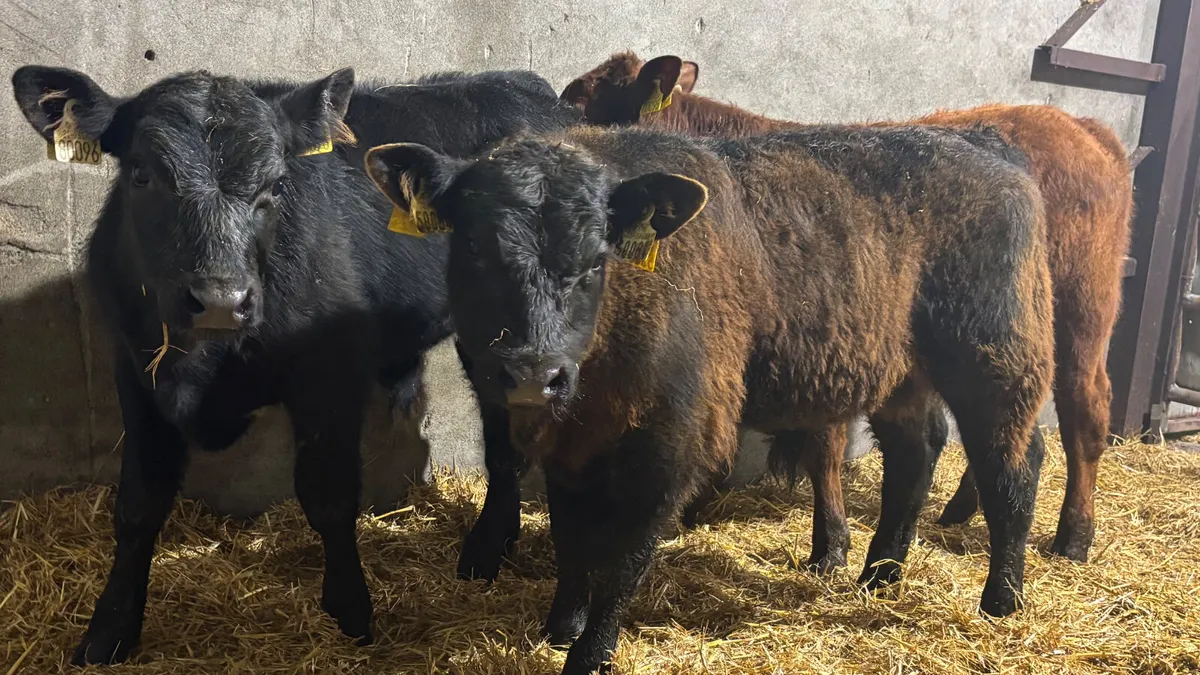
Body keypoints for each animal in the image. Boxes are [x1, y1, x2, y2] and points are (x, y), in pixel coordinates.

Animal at [11, 64, 579, 665]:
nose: (220, 299)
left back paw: (485, 550)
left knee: (505, 446)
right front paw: (109, 630)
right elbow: (138, 506)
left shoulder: (328, 376)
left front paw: (350, 612)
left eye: (275, 186)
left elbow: (328, 497)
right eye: (141, 174)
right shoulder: (137, 375)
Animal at [363, 121, 1054, 674]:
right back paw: (877, 578)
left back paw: (1001, 601)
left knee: (1012, 467)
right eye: (472, 247)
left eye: (595, 260)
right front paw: (561, 626)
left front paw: (590, 653)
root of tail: (981, 145)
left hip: (997, 361)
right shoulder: (573, 446)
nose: (535, 373)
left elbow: (624, 554)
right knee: (916, 457)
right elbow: (571, 538)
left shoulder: (671, 440)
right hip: (903, 376)